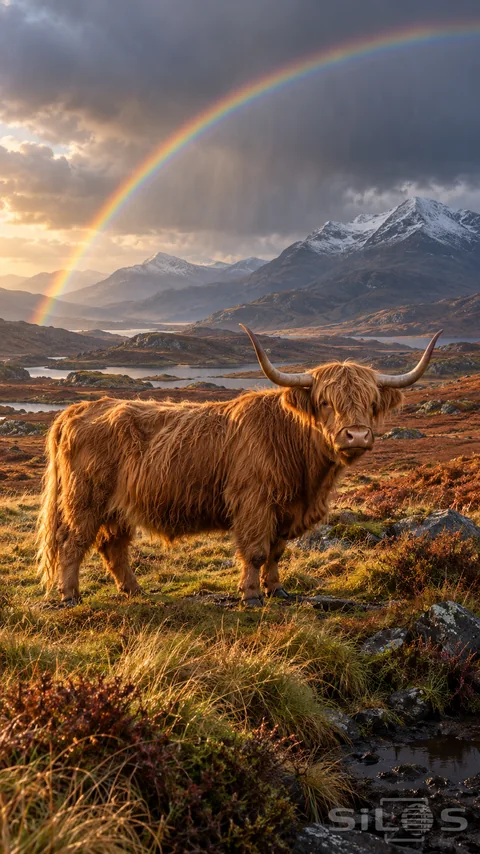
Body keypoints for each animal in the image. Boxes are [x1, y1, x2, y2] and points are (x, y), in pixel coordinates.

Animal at [37, 326, 441, 606]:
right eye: (326, 401)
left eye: (371, 403)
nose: (356, 435)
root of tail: (78, 409)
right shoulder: (254, 502)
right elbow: (256, 551)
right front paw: (250, 595)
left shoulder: (285, 509)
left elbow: (276, 552)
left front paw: (277, 590)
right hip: (84, 499)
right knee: (73, 542)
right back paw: (70, 596)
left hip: (118, 507)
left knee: (113, 546)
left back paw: (134, 590)